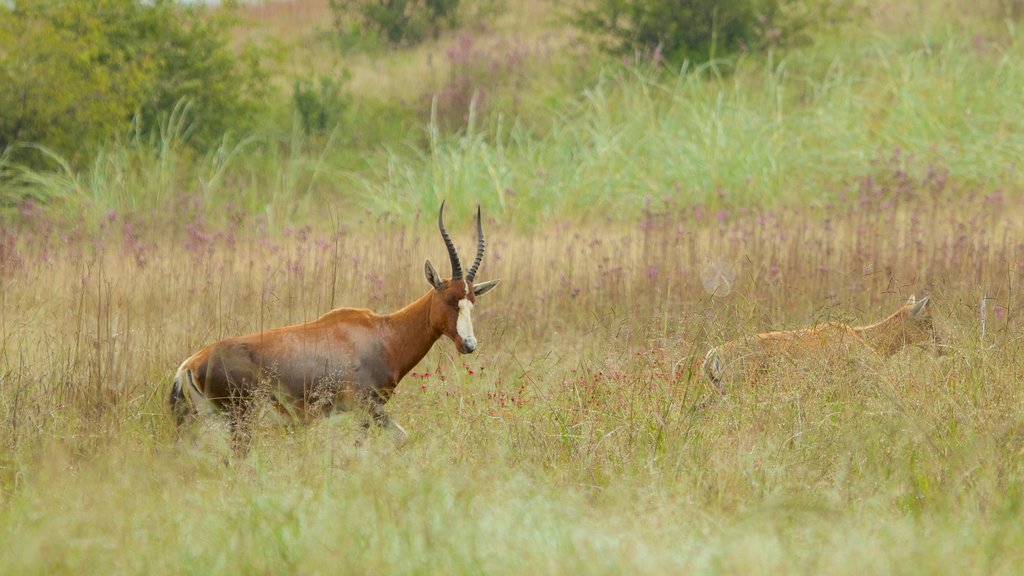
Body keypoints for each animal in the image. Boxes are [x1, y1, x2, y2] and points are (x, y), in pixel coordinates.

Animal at [167, 202, 499, 448]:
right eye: (450, 299)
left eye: (472, 300)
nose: (469, 345)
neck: (381, 333)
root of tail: (190, 364)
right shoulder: (367, 408)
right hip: (239, 420)